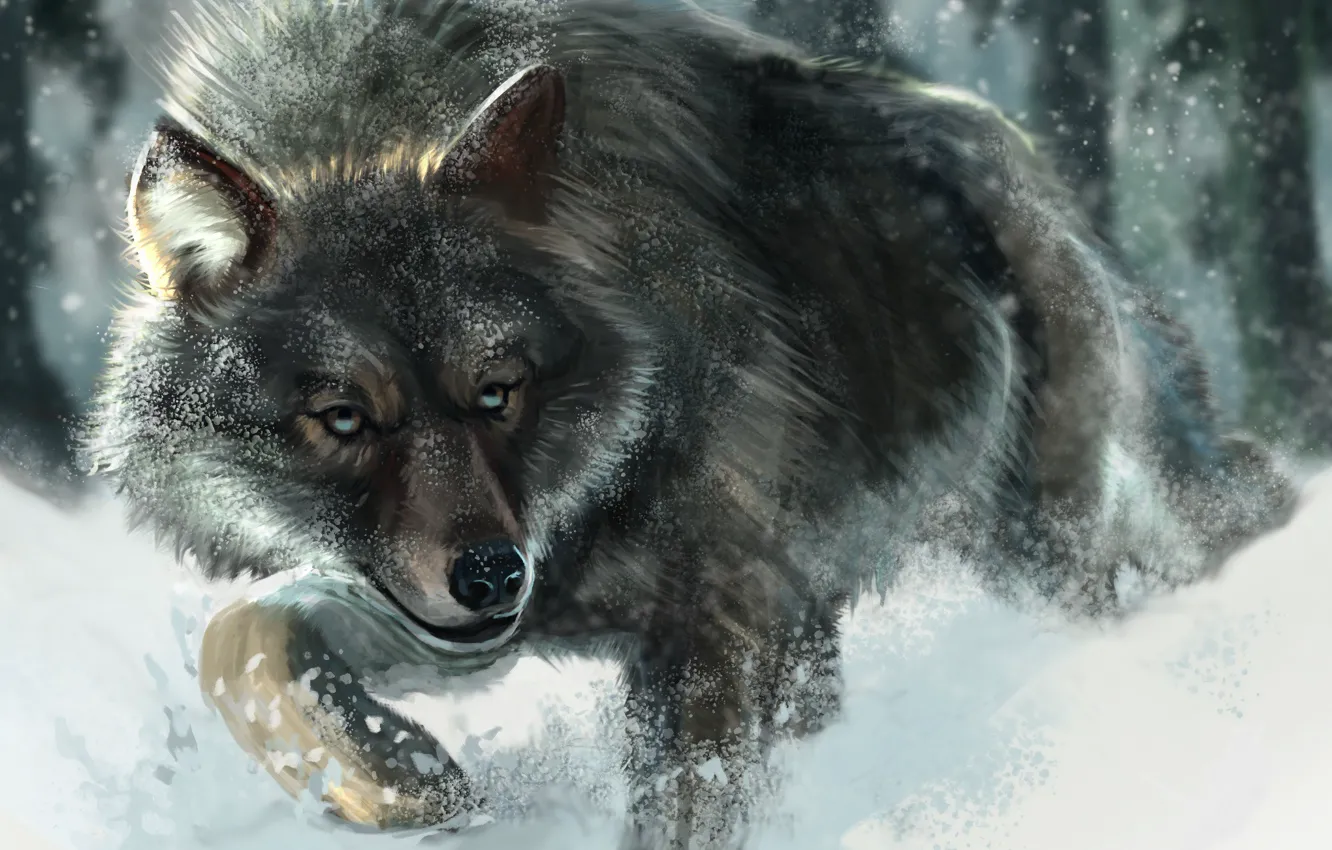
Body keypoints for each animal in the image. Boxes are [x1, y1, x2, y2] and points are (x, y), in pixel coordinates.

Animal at [89, 0, 1296, 845]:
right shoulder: (479, 609)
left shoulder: (705, 618)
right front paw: (404, 785)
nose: (490, 575)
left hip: (1040, 542)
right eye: (343, 418)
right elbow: (247, 636)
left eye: (498, 391)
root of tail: (1016, 154)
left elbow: (687, 810)